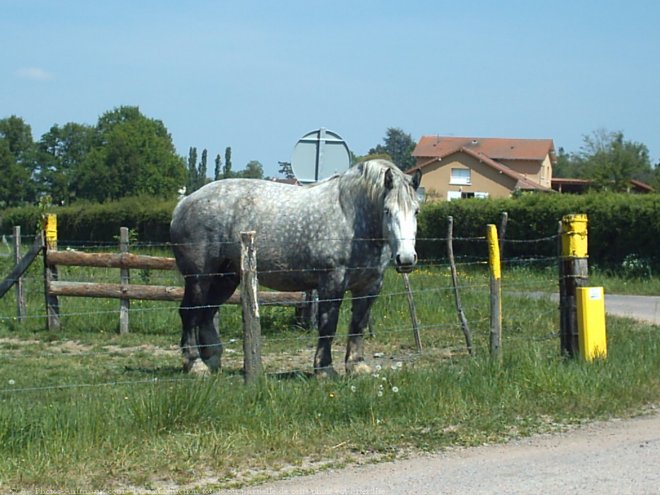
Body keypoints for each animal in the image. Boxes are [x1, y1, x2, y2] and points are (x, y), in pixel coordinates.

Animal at [168, 161, 420, 378]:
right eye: (387, 210)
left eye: (416, 211)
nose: (406, 258)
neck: (352, 218)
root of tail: (184, 203)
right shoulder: (332, 283)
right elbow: (328, 325)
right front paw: (324, 370)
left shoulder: (370, 286)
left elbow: (358, 324)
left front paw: (357, 366)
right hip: (199, 278)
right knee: (190, 313)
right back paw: (195, 364)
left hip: (226, 278)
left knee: (207, 313)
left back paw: (212, 360)